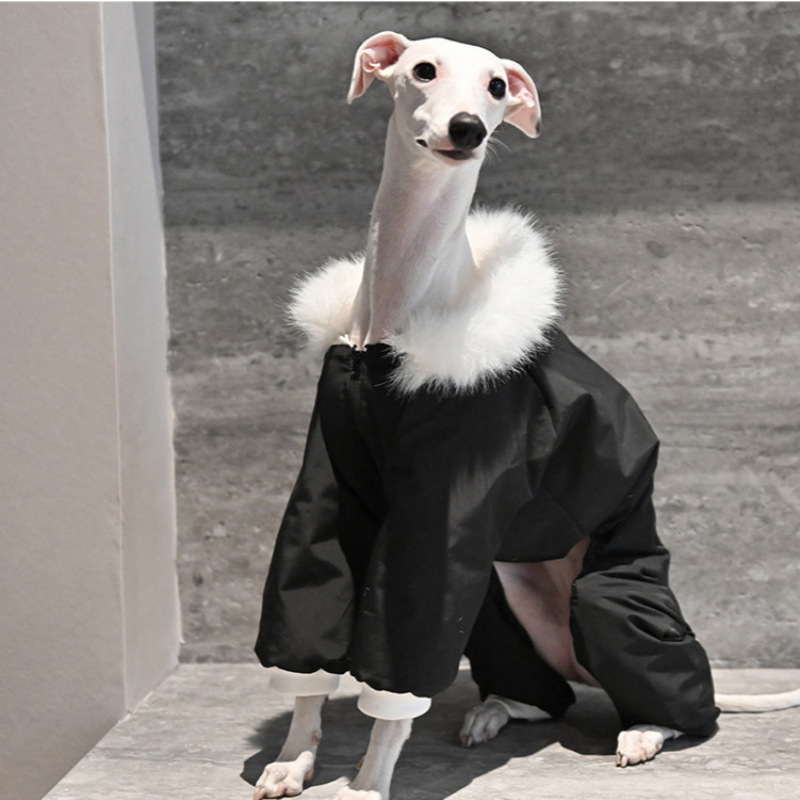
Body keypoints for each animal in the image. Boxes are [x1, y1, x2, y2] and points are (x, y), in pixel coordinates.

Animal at [252, 32, 800, 800]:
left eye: (496, 87)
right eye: (423, 70)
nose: (467, 130)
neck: (395, 316)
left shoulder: (442, 513)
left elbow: (401, 666)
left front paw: (366, 785)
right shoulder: (330, 483)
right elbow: (310, 607)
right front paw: (292, 759)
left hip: (607, 597)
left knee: (682, 700)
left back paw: (644, 728)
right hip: (499, 589)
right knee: (549, 695)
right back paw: (501, 706)